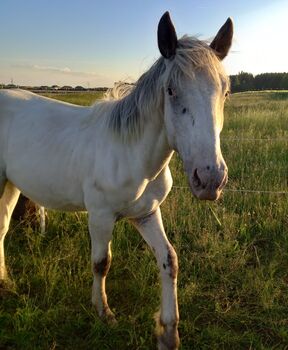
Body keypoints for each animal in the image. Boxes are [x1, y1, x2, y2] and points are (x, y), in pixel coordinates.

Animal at [0, 12, 233, 348]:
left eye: (225, 91)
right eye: (171, 91)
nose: (210, 178)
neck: (131, 153)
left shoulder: (146, 214)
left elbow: (169, 260)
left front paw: (168, 332)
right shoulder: (100, 216)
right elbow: (102, 262)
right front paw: (104, 313)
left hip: (11, 184)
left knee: (2, 226)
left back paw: (6, 281)